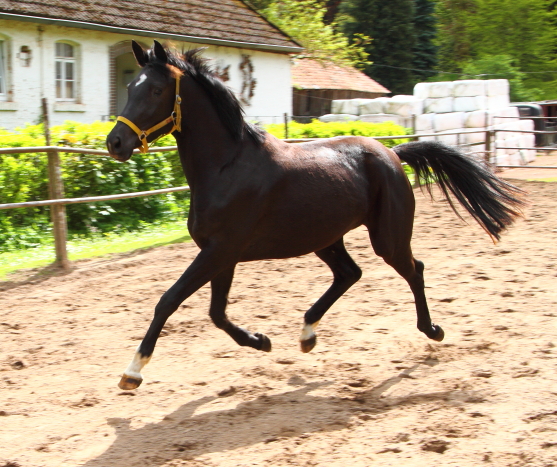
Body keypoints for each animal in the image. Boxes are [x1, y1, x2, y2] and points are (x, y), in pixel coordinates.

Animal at [105, 41, 524, 392]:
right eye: (130, 87)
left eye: (155, 91)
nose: (115, 143)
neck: (227, 167)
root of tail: (391, 154)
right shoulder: (221, 254)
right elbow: (216, 312)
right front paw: (261, 341)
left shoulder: (219, 251)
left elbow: (169, 300)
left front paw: (133, 372)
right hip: (324, 237)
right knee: (349, 273)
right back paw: (307, 334)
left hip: (386, 237)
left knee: (412, 269)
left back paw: (432, 330)